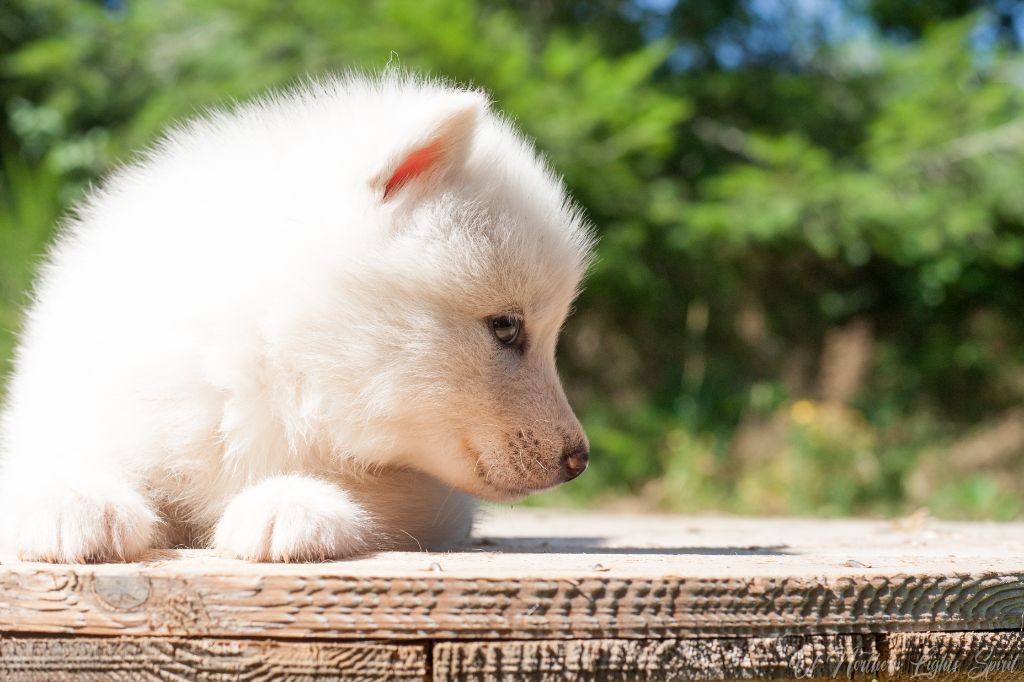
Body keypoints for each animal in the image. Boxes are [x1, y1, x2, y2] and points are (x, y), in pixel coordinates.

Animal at [0, 71, 593, 561]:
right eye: (506, 327)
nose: (579, 460)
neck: (254, 357)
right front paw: (72, 501)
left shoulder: (429, 498)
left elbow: (365, 489)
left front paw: (289, 503)